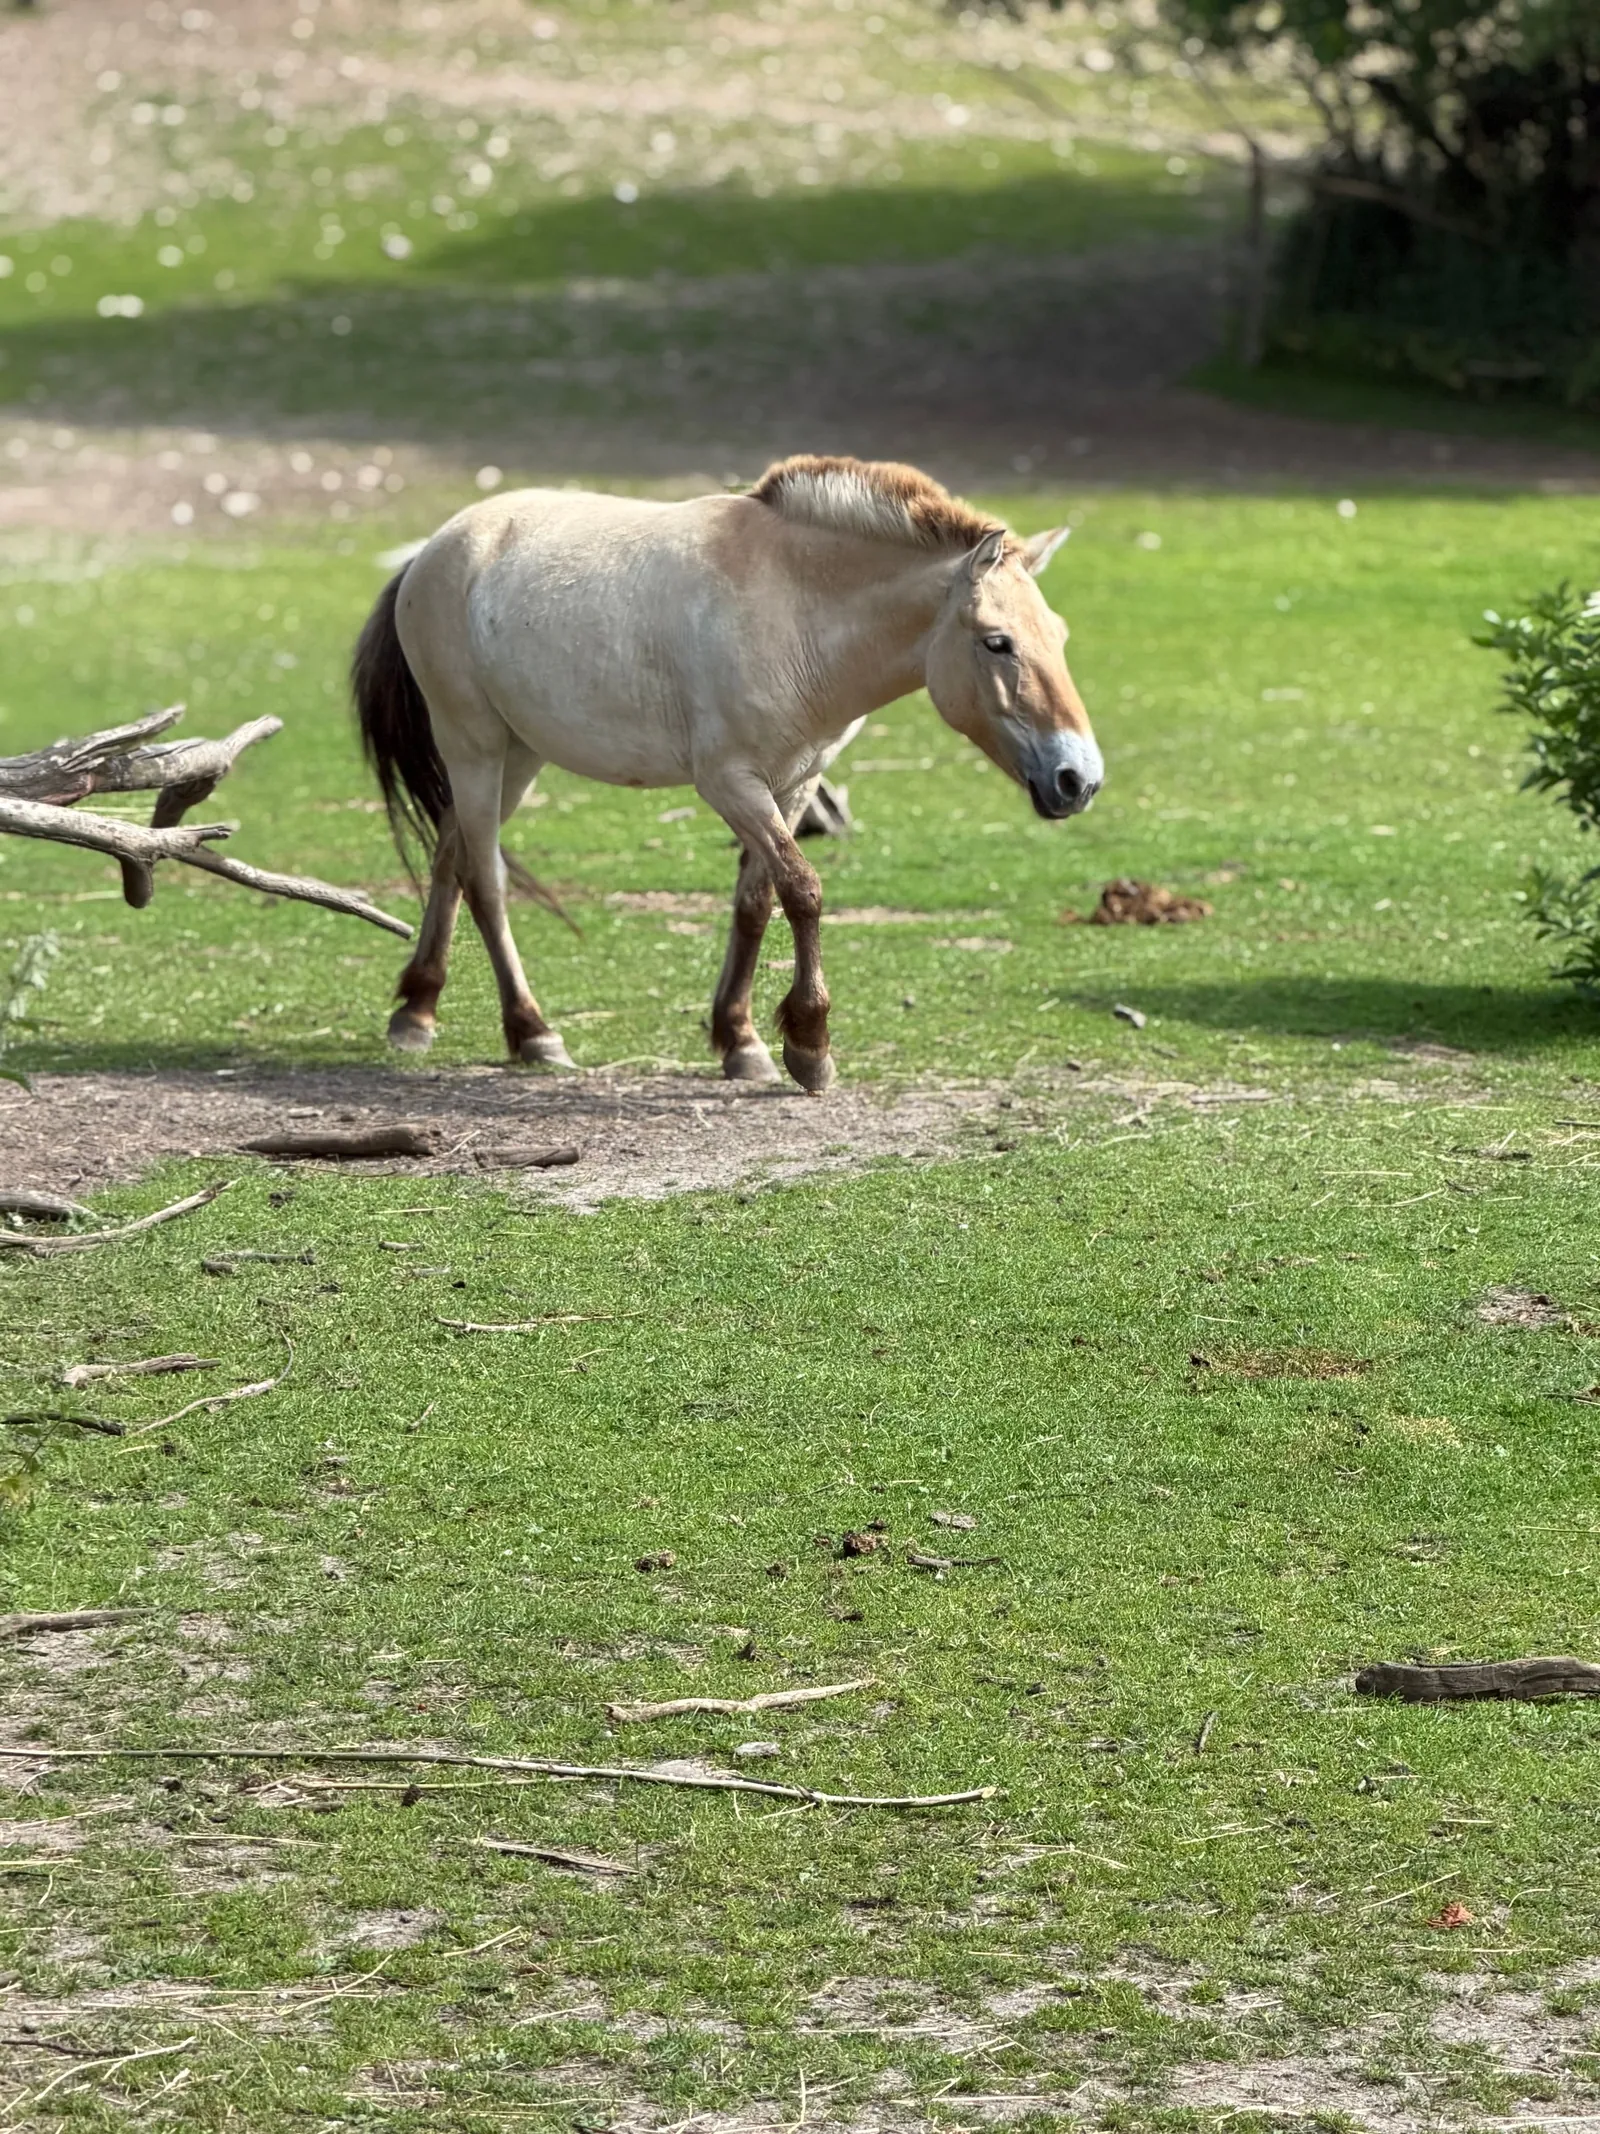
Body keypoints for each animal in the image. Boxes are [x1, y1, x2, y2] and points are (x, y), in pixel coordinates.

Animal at [353, 453, 1103, 1092]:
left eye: (1063, 637)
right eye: (998, 643)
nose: (1079, 779)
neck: (795, 610)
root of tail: (434, 551)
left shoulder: (795, 781)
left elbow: (756, 901)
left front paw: (741, 1041)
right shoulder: (730, 783)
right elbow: (803, 889)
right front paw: (810, 1046)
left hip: (518, 756)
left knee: (450, 857)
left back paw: (417, 1011)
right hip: (474, 747)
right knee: (485, 878)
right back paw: (532, 1031)